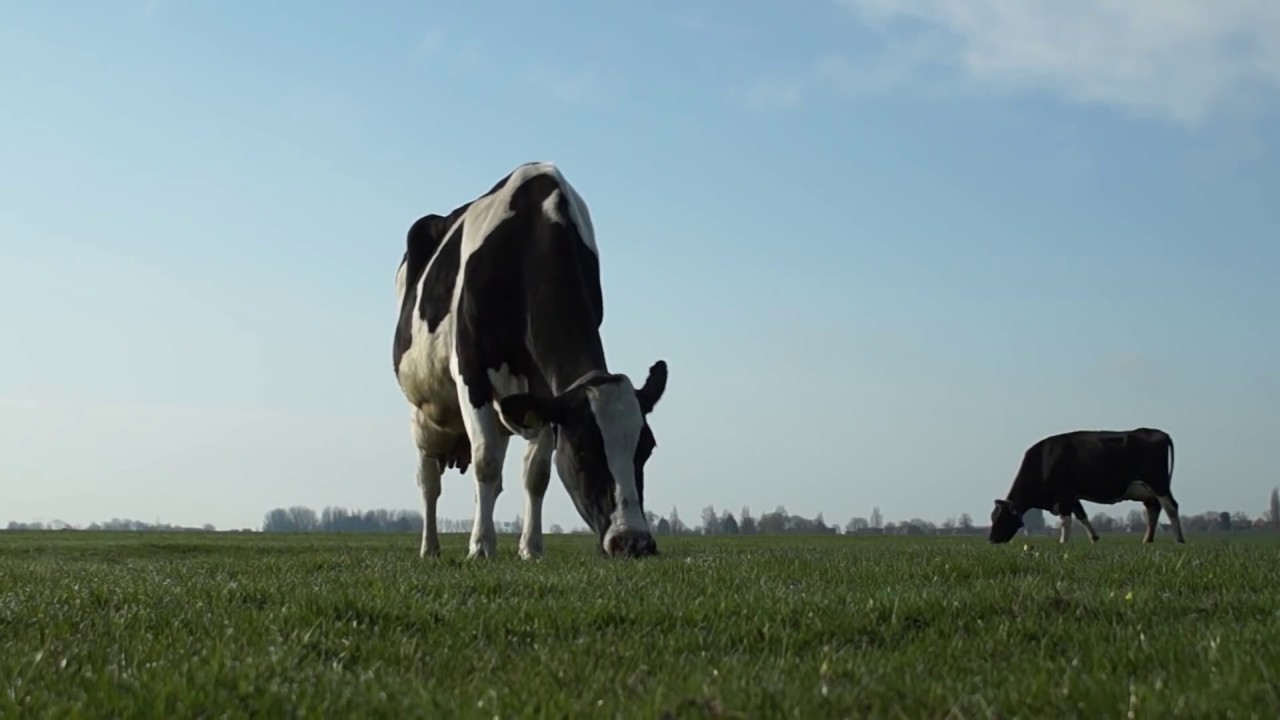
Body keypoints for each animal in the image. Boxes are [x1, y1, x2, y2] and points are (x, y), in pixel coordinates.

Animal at [392, 161, 668, 561]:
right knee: (430, 479)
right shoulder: (470, 371)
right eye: (582, 449)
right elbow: (486, 463)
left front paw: (531, 548)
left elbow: (535, 474)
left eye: (646, 448)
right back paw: (430, 548)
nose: (632, 541)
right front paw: (480, 547)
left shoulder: (546, 393)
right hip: (422, 408)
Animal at [988, 427, 1185, 545]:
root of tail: (1158, 432)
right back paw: (1147, 540)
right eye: (992, 517)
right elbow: (1082, 516)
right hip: (1147, 490)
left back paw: (1179, 539)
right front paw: (1094, 538)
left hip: (1159, 483)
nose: (991, 540)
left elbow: (1066, 520)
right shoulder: (1073, 496)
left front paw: (1063, 542)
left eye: (1001, 518)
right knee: (1154, 508)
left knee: (1171, 507)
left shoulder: (1065, 495)